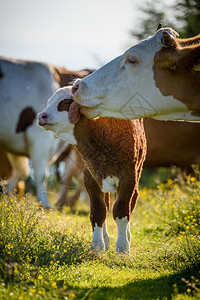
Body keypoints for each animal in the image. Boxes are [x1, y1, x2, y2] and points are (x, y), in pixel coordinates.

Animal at [38, 87, 146, 253]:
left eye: (65, 103)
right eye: (49, 101)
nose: (41, 116)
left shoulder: (128, 177)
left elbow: (121, 210)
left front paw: (122, 247)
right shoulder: (90, 176)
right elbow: (98, 210)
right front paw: (97, 246)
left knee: (132, 201)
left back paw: (127, 237)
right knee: (106, 205)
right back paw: (106, 240)